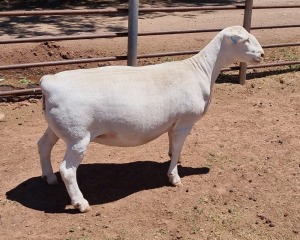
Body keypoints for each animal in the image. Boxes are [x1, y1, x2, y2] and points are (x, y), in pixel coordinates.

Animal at [38, 25, 264, 211]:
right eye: (244, 40)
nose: (262, 54)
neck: (201, 71)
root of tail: (48, 82)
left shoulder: (174, 122)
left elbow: (173, 146)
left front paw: (175, 160)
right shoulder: (185, 122)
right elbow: (178, 146)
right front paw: (174, 177)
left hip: (58, 127)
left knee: (43, 145)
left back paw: (49, 178)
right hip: (78, 135)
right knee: (67, 170)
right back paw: (80, 203)